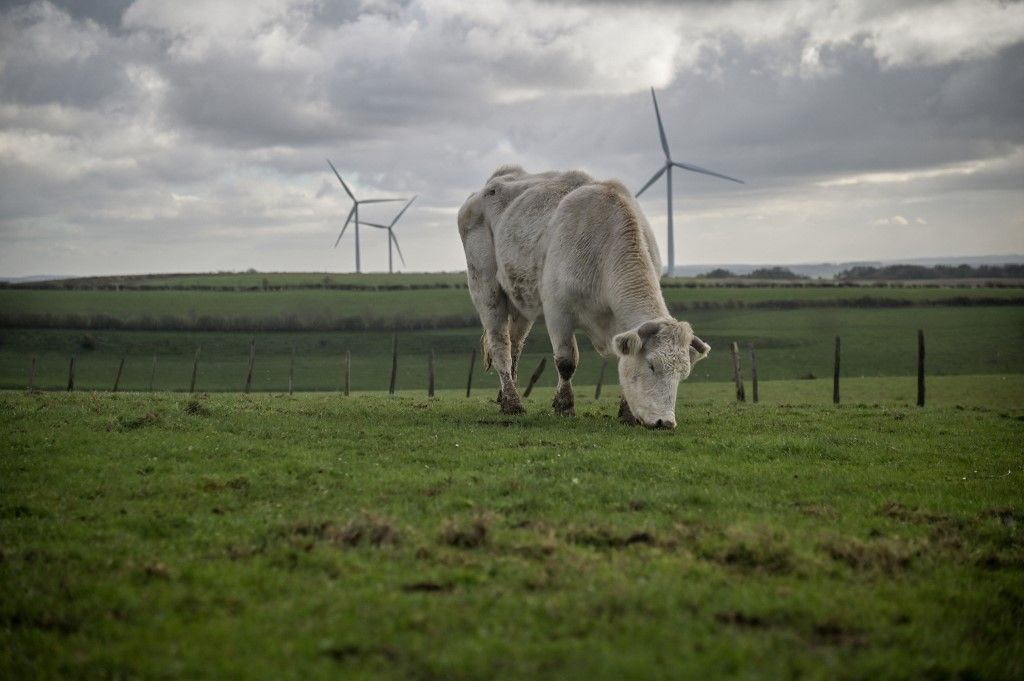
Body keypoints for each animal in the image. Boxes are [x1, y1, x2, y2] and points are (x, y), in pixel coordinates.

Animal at [457, 165, 710, 429]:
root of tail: (496, 179)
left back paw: (505, 394)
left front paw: (627, 414)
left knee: (514, 345)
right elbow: (566, 361)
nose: (666, 422)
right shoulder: (557, 312)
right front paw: (564, 406)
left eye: (683, 374)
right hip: (486, 288)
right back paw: (512, 402)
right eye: (651, 365)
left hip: (520, 300)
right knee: (500, 345)